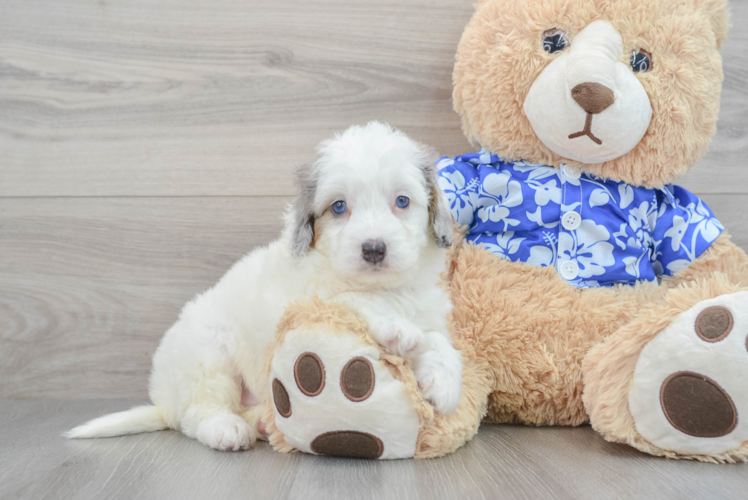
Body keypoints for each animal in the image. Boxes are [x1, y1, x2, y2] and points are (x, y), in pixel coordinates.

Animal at [67, 123, 462, 452]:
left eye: (402, 201)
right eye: (338, 206)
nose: (374, 249)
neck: (391, 289)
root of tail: (163, 402)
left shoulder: (429, 310)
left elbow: (440, 341)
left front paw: (444, 382)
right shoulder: (307, 299)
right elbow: (353, 297)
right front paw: (397, 328)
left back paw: (259, 423)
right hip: (207, 355)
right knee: (197, 412)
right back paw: (226, 430)